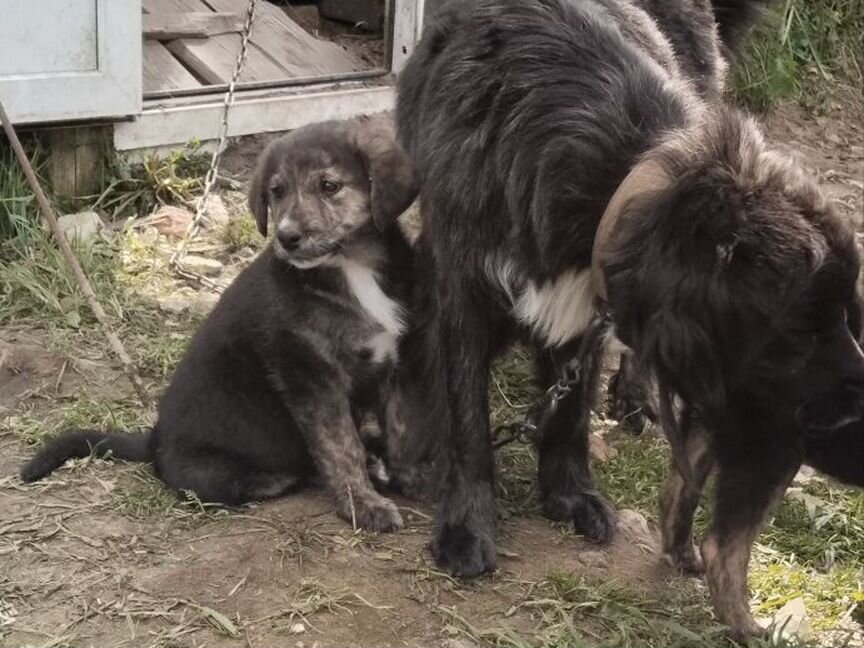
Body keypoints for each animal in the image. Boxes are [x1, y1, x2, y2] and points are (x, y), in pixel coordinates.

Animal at [20, 119, 418, 536]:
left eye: (329, 186)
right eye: (277, 192)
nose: (287, 238)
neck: (351, 266)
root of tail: (153, 441)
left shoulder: (395, 359)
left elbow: (401, 426)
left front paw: (413, 479)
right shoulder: (310, 375)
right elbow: (340, 446)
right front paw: (363, 504)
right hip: (222, 474)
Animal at [394, 0, 864, 636]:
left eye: (847, 317)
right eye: (803, 329)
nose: (859, 407)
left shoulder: (589, 305)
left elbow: (571, 405)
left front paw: (570, 494)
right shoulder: (461, 290)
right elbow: (468, 422)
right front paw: (467, 525)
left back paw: (635, 398)